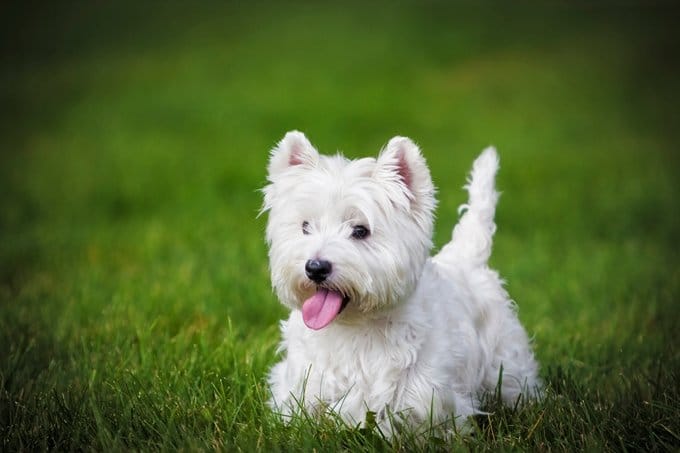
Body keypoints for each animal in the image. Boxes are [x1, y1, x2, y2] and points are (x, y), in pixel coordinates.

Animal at [262, 131, 540, 434]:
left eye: (360, 230)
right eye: (305, 226)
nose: (315, 268)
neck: (353, 329)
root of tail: (467, 257)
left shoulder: (426, 397)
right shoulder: (303, 386)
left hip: (505, 359)